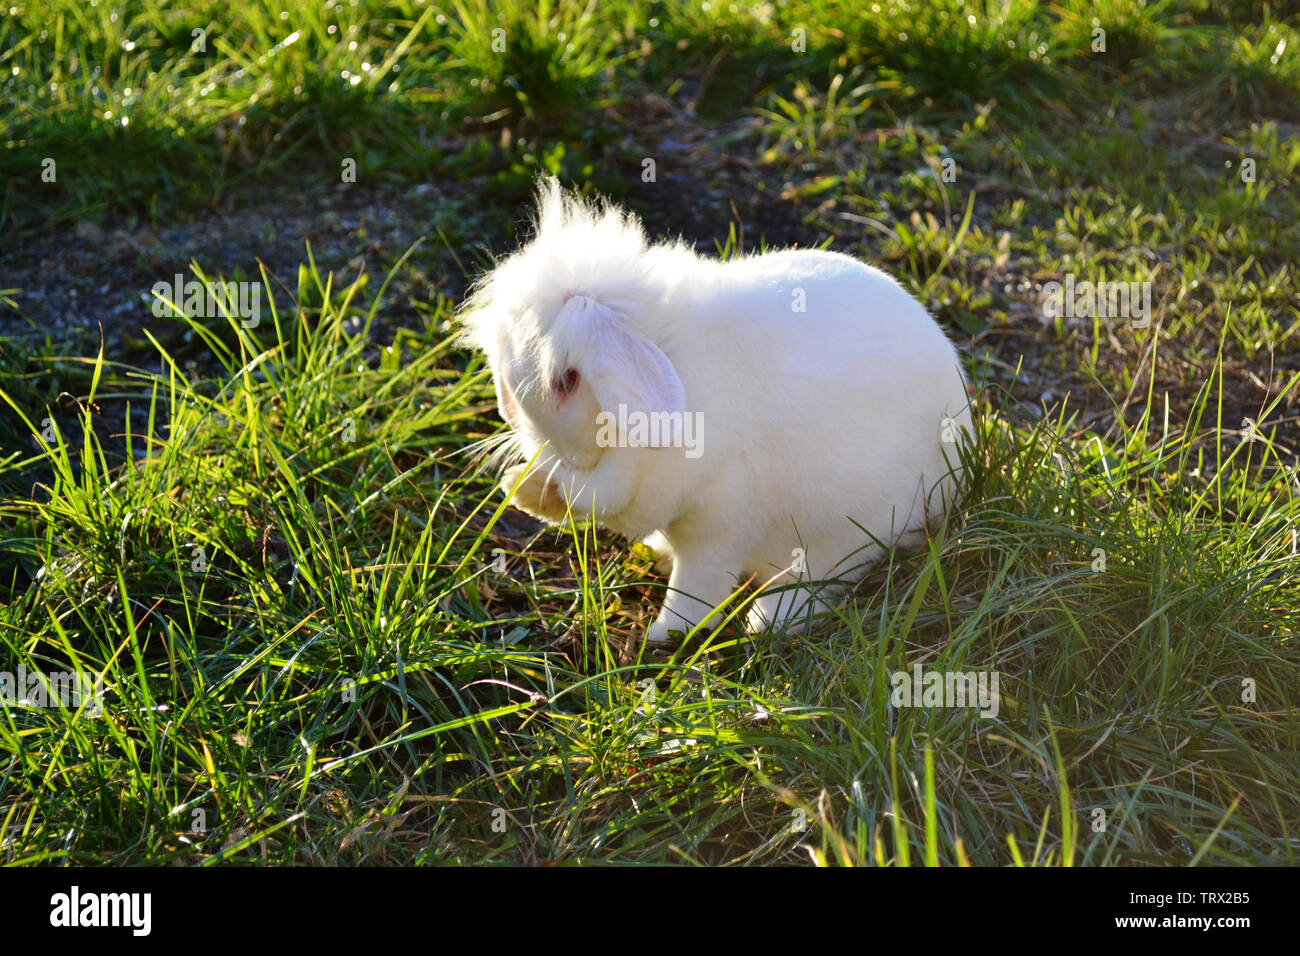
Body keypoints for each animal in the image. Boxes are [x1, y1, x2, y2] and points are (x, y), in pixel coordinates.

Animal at [462, 178, 972, 642]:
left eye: (565, 381)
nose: (520, 426)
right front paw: (524, 487)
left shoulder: (716, 525)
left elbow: (693, 582)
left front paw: (667, 633)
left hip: (852, 528)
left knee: (828, 576)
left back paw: (769, 619)